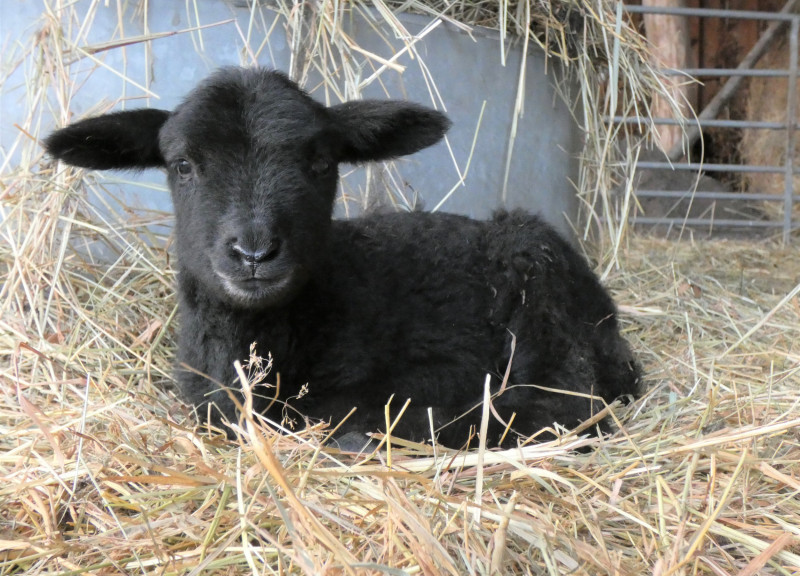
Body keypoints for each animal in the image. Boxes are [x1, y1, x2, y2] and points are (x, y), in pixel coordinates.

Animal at [45, 66, 644, 446]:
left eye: (320, 162)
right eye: (183, 165)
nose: (255, 252)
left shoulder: (439, 369)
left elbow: (348, 412)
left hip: (538, 283)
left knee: (570, 403)